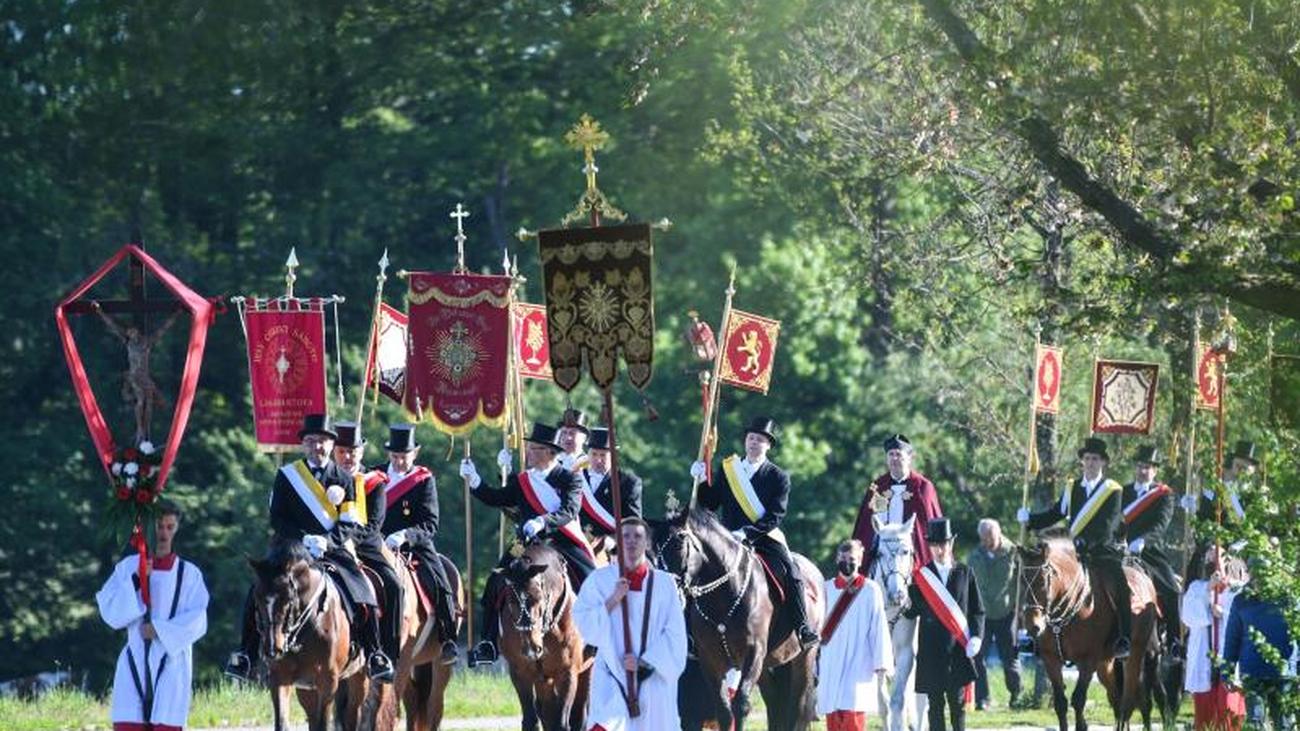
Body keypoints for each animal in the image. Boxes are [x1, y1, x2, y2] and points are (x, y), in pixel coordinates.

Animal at [249, 540, 369, 731]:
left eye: (287, 598)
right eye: (257, 597)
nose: (273, 648)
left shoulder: (328, 682)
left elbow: (323, 724)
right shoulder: (279, 678)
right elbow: (281, 723)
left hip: (358, 677)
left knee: (351, 715)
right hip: (308, 688)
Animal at [496, 542, 591, 731]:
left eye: (538, 597)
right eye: (511, 601)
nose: (531, 648)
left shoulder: (568, 673)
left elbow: (563, 723)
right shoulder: (520, 673)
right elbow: (531, 720)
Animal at [653, 508, 824, 731]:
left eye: (680, 542)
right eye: (656, 550)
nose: (668, 590)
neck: (724, 595)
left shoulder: (753, 653)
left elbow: (741, 705)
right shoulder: (711, 661)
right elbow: (724, 711)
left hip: (804, 656)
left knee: (798, 706)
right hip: (767, 665)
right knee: (774, 702)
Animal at [867, 514, 927, 731]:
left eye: (906, 551)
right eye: (879, 553)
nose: (898, 595)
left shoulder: (905, 653)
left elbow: (898, 700)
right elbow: (883, 703)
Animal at [1018, 537, 1159, 731]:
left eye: (1044, 581)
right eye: (1022, 581)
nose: (1033, 626)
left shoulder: (1087, 660)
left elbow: (1078, 700)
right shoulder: (1051, 659)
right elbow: (1060, 703)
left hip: (1135, 654)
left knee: (1130, 700)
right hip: (1105, 663)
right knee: (1116, 698)